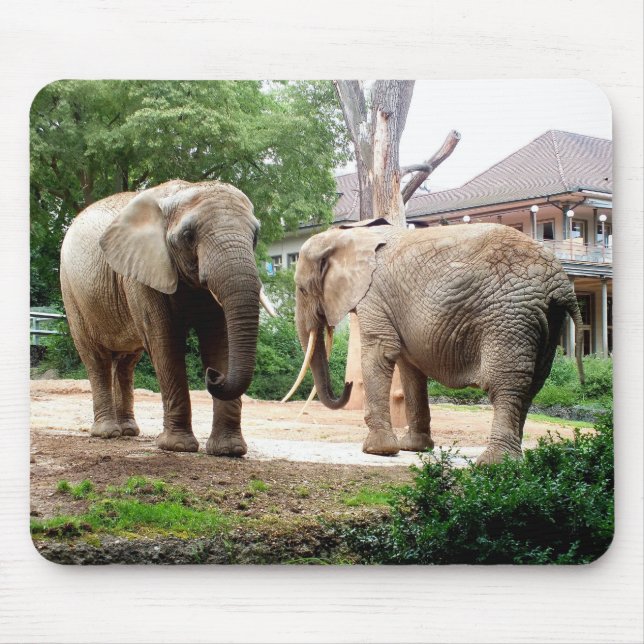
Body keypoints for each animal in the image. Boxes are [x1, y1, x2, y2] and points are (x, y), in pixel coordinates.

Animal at [60, 179, 275, 456]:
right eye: (188, 236)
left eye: (255, 236)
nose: (213, 375)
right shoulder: (142, 274)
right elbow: (165, 342)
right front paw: (178, 447)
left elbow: (220, 341)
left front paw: (229, 450)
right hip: (71, 291)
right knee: (96, 358)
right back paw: (107, 433)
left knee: (127, 363)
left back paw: (128, 431)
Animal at [287, 219, 584, 465]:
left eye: (301, 289)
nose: (348, 384)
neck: (351, 235)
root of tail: (561, 282)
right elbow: (409, 368)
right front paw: (413, 448)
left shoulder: (374, 295)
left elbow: (380, 352)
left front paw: (377, 451)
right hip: (546, 319)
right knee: (534, 384)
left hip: (509, 315)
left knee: (506, 383)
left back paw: (495, 464)